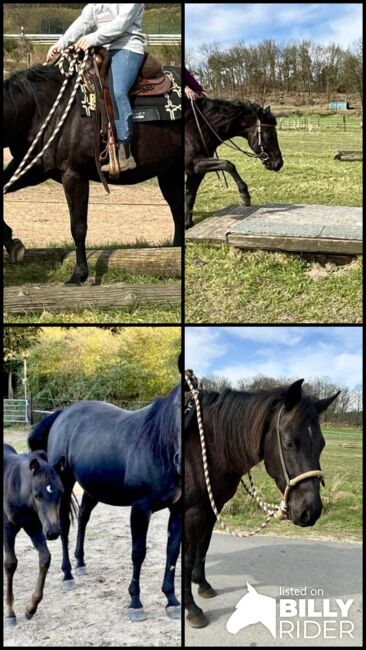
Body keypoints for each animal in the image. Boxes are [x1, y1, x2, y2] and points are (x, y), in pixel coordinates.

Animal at [3, 58, 182, 284]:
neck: (45, 110)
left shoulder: (74, 174)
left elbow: (78, 226)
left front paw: (79, 274)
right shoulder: (33, 169)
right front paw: (13, 245)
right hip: (169, 171)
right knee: (177, 209)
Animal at [3, 440, 65, 624]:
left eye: (61, 493)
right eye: (37, 495)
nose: (53, 532)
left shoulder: (35, 527)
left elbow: (45, 558)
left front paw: (30, 608)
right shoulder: (7, 528)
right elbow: (10, 563)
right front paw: (10, 612)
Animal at [27, 382, 182, 620]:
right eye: (178, 406)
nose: (181, 459)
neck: (159, 448)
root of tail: (63, 414)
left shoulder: (178, 509)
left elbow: (172, 552)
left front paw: (172, 599)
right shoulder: (140, 509)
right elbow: (138, 553)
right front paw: (135, 602)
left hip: (92, 489)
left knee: (83, 517)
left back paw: (80, 562)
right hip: (64, 485)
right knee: (64, 525)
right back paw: (68, 574)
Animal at [186, 95, 284, 228]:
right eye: (270, 134)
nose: (279, 163)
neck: (198, 128)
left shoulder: (196, 171)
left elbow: (190, 196)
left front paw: (187, 224)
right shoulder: (195, 163)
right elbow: (228, 164)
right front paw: (245, 195)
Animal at [186, 378, 340, 624]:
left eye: (322, 445)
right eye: (288, 443)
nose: (311, 511)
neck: (205, 449)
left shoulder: (211, 507)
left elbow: (203, 546)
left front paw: (202, 584)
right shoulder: (191, 511)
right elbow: (188, 555)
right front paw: (191, 608)